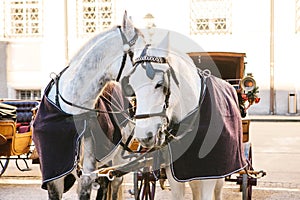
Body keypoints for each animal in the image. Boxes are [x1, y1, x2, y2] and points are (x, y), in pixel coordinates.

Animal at [119, 34, 239, 198]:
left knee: (218, 190)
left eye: (160, 83)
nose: (144, 136)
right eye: (131, 86)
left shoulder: (211, 174)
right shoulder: (176, 174)